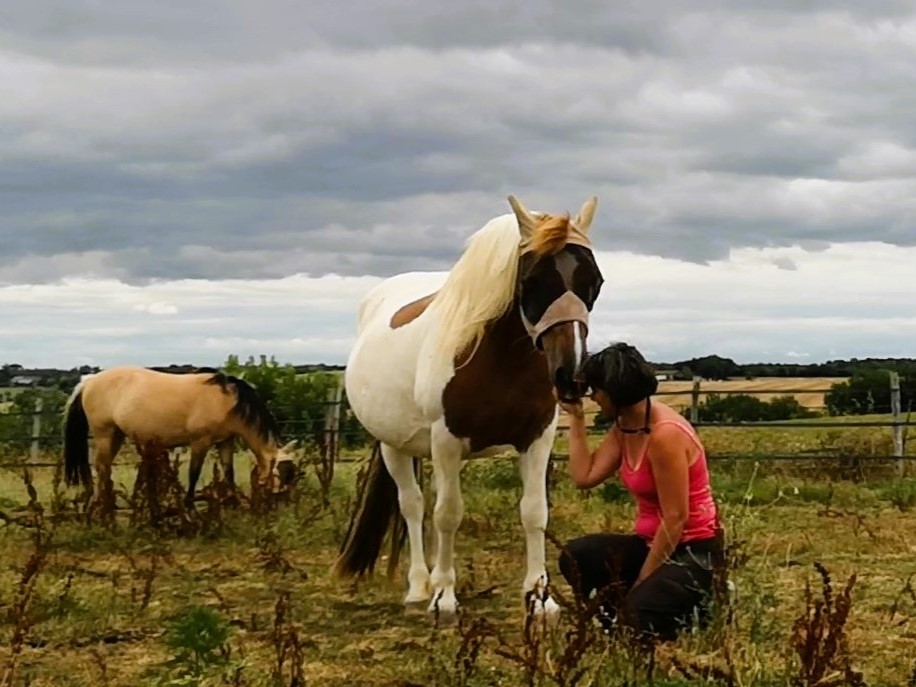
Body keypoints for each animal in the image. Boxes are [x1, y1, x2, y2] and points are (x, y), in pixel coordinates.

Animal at [61, 366, 296, 506]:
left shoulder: (225, 442)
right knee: (101, 467)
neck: (228, 402)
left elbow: (229, 473)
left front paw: (233, 502)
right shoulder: (200, 442)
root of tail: (89, 381)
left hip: (116, 436)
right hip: (104, 434)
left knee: (104, 468)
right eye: (280, 473)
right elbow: (194, 473)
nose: (283, 501)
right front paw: (189, 504)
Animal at [332, 194, 604, 628]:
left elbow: (534, 513)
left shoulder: (538, 438)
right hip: (394, 446)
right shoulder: (447, 441)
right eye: (532, 281)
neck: (495, 359)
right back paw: (418, 589)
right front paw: (443, 598)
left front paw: (540, 599)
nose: (571, 376)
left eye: (594, 282)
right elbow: (447, 515)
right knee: (413, 506)